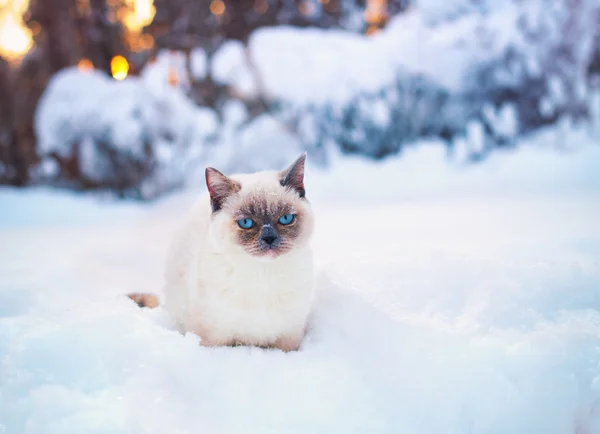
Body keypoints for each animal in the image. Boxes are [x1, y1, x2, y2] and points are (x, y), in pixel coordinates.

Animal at [129, 154, 316, 350]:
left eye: (285, 219)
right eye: (246, 223)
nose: (269, 238)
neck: (262, 275)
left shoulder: (288, 341)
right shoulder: (214, 339)